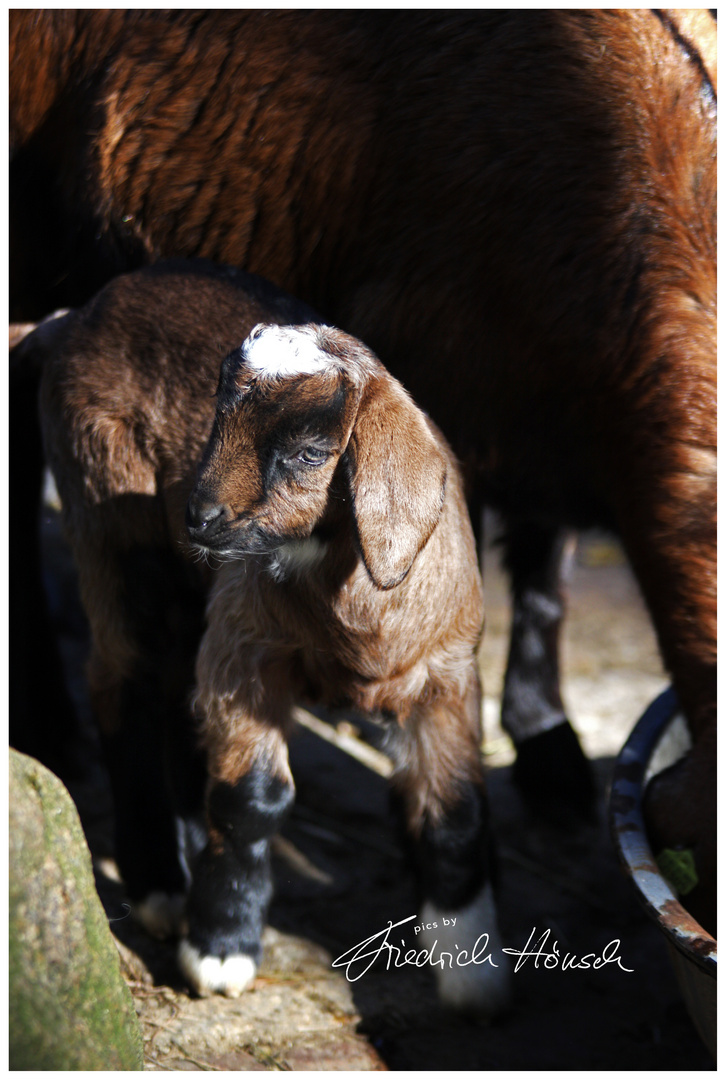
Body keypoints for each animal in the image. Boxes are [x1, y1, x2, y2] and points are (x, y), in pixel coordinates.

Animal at [35, 259, 509, 1010]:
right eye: (216, 419)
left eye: (310, 453)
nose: (199, 517)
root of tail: (76, 315)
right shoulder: (246, 652)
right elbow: (251, 798)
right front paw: (221, 948)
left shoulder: (446, 674)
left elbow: (455, 811)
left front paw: (472, 966)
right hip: (106, 514)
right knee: (122, 685)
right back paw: (160, 886)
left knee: (171, 693)